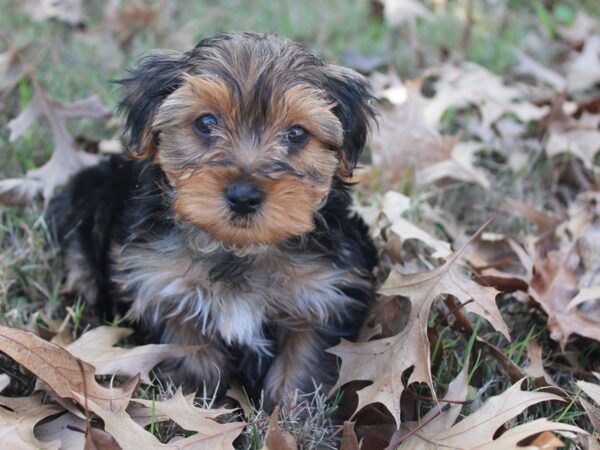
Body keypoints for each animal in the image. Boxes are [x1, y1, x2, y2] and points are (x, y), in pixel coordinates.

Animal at [52, 31, 380, 408]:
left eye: (297, 134)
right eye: (206, 122)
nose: (244, 196)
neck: (237, 249)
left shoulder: (324, 293)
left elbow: (303, 362)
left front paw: (293, 415)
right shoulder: (162, 285)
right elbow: (190, 353)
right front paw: (193, 400)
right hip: (88, 192)